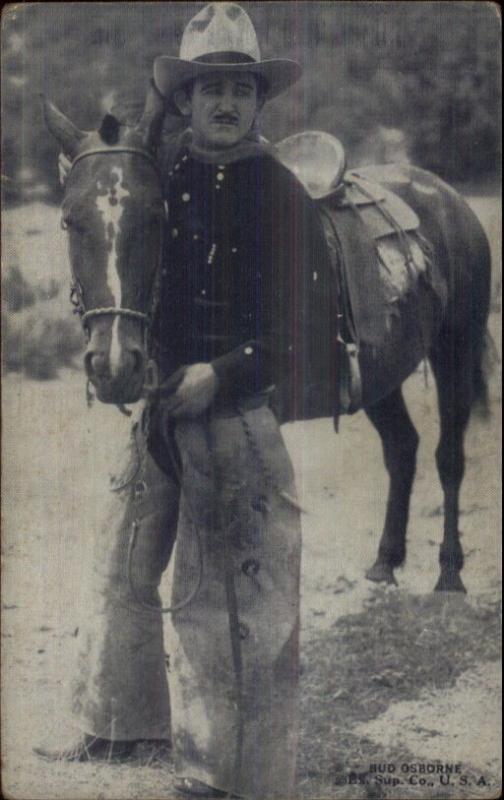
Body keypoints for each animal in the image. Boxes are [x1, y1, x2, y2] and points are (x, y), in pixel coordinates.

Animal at [44, 90, 492, 596]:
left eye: (157, 216)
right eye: (69, 221)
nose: (114, 365)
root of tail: (449, 198)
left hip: (456, 353)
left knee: (449, 456)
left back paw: (450, 572)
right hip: (381, 374)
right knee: (402, 448)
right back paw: (385, 561)